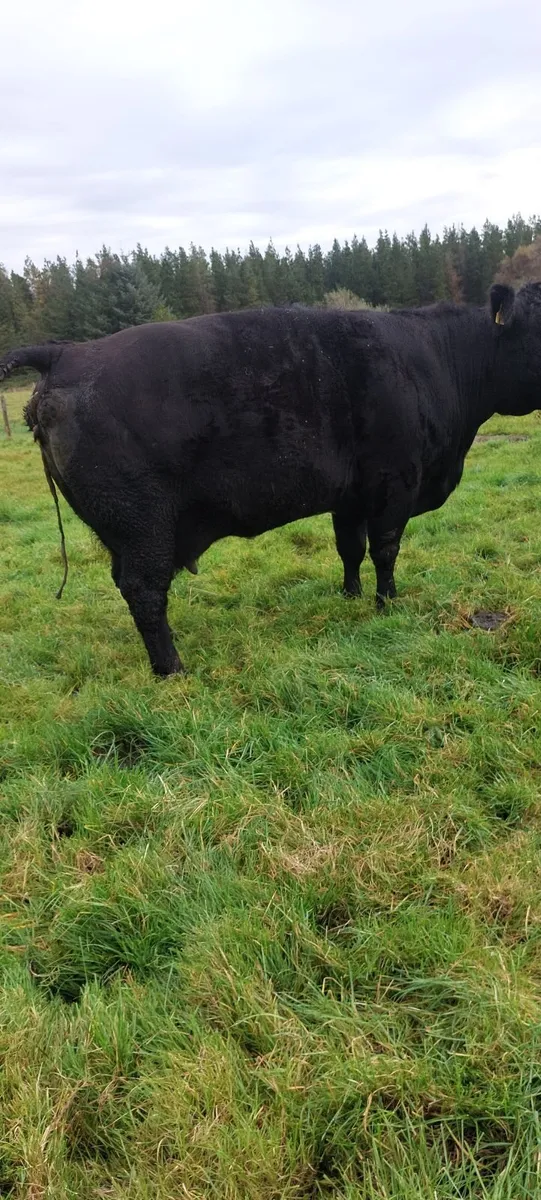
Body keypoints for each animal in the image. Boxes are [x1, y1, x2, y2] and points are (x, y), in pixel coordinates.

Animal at [0, 281, 538, 677]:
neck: (437, 356)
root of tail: (67, 354)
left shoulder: (350, 495)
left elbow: (350, 548)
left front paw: (350, 595)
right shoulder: (395, 481)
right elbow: (385, 549)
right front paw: (387, 604)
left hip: (123, 530)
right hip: (142, 524)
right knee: (145, 591)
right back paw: (172, 669)